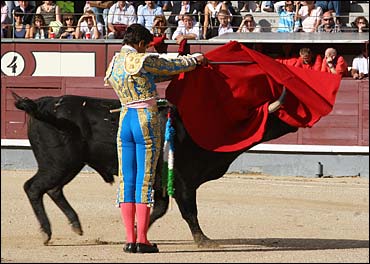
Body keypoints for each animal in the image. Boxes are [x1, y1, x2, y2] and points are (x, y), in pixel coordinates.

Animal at [12, 92, 298, 246]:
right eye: (279, 114)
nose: (298, 122)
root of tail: (43, 103)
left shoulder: (162, 183)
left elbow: (159, 210)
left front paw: (137, 231)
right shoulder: (183, 181)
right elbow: (189, 212)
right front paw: (204, 240)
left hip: (66, 165)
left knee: (53, 190)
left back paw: (75, 225)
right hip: (59, 163)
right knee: (34, 187)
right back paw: (46, 232)